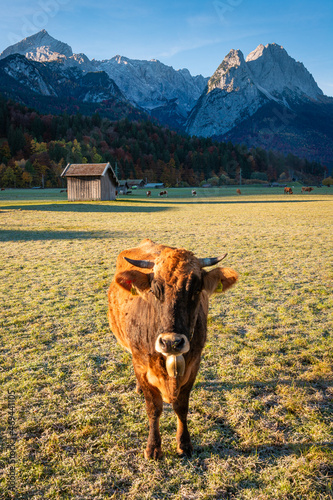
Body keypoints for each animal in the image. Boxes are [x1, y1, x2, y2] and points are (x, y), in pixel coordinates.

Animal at [107, 238, 237, 458]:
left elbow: (181, 407)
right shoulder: (141, 365)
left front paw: (184, 443)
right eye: (155, 290)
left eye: (196, 290)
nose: (171, 342)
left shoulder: (194, 365)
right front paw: (153, 447)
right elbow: (154, 409)